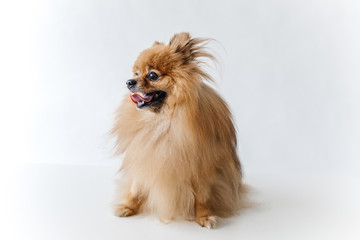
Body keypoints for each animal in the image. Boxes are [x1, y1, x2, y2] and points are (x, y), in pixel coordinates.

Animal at [111, 32, 243, 229]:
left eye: (152, 75)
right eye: (136, 73)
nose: (129, 82)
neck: (164, 120)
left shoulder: (202, 166)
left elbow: (203, 197)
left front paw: (204, 216)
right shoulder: (144, 156)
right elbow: (136, 186)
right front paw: (128, 206)